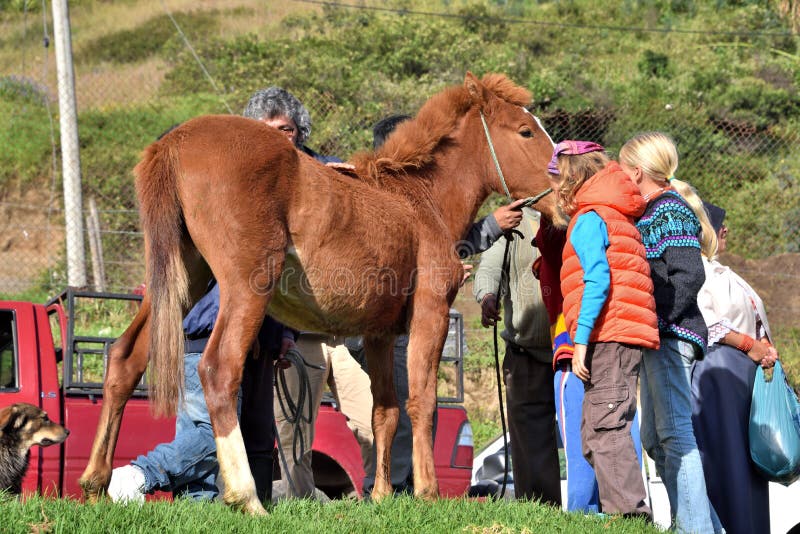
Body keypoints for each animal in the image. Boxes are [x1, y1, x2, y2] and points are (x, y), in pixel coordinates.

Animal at [81, 71, 556, 516]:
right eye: (525, 131)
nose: (561, 184)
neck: (419, 202)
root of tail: (174, 141)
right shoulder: (431, 312)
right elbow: (422, 401)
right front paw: (427, 494)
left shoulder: (380, 334)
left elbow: (384, 412)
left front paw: (381, 496)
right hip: (244, 287)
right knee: (218, 369)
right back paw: (246, 497)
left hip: (182, 280)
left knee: (124, 359)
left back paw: (95, 485)